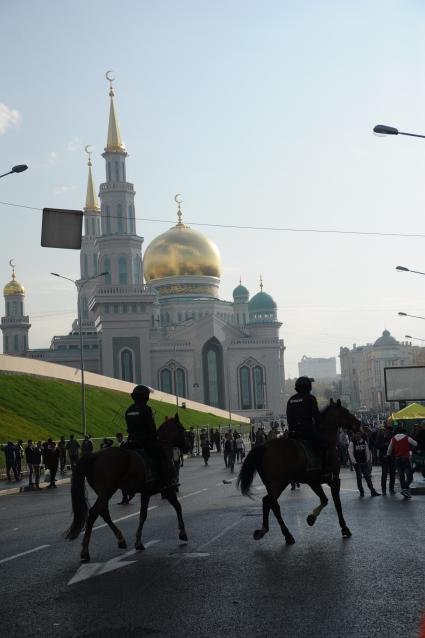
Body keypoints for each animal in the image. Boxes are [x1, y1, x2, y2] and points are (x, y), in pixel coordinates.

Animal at [65, 418, 187, 564]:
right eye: (182, 428)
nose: (188, 446)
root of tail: (94, 456)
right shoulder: (168, 489)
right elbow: (178, 507)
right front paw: (183, 533)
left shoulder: (146, 493)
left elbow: (143, 515)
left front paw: (138, 542)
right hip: (107, 491)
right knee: (94, 512)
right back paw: (85, 550)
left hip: (104, 493)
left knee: (103, 512)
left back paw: (120, 539)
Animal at [237, 400, 360, 544]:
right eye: (346, 412)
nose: (358, 423)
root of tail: (265, 447)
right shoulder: (334, 480)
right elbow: (337, 504)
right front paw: (344, 527)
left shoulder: (314, 481)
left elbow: (324, 500)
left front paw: (311, 518)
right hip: (278, 484)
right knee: (268, 501)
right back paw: (276, 531)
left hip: (271, 485)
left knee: (272, 504)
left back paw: (280, 533)